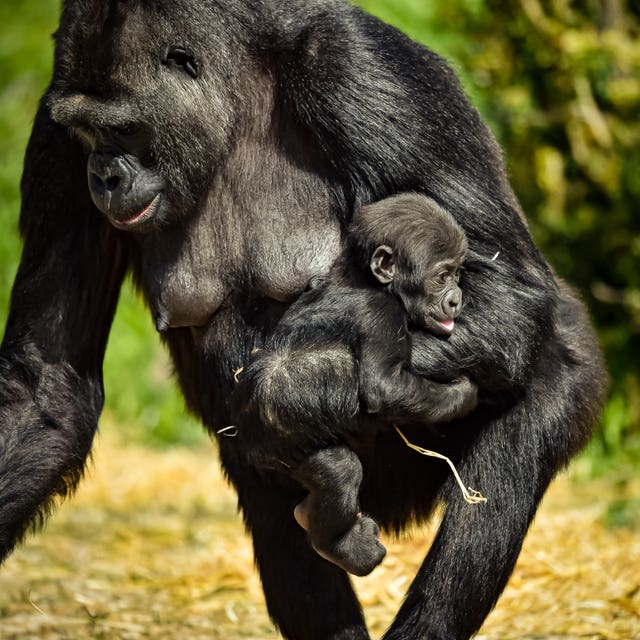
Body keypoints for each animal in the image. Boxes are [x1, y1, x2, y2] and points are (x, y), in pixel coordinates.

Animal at [234, 194, 476, 576]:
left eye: (458, 274)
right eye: (442, 276)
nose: (456, 298)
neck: (364, 279)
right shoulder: (381, 314)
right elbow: (385, 387)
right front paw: (462, 395)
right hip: (275, 447)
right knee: (339, 472)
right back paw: (342, 546)